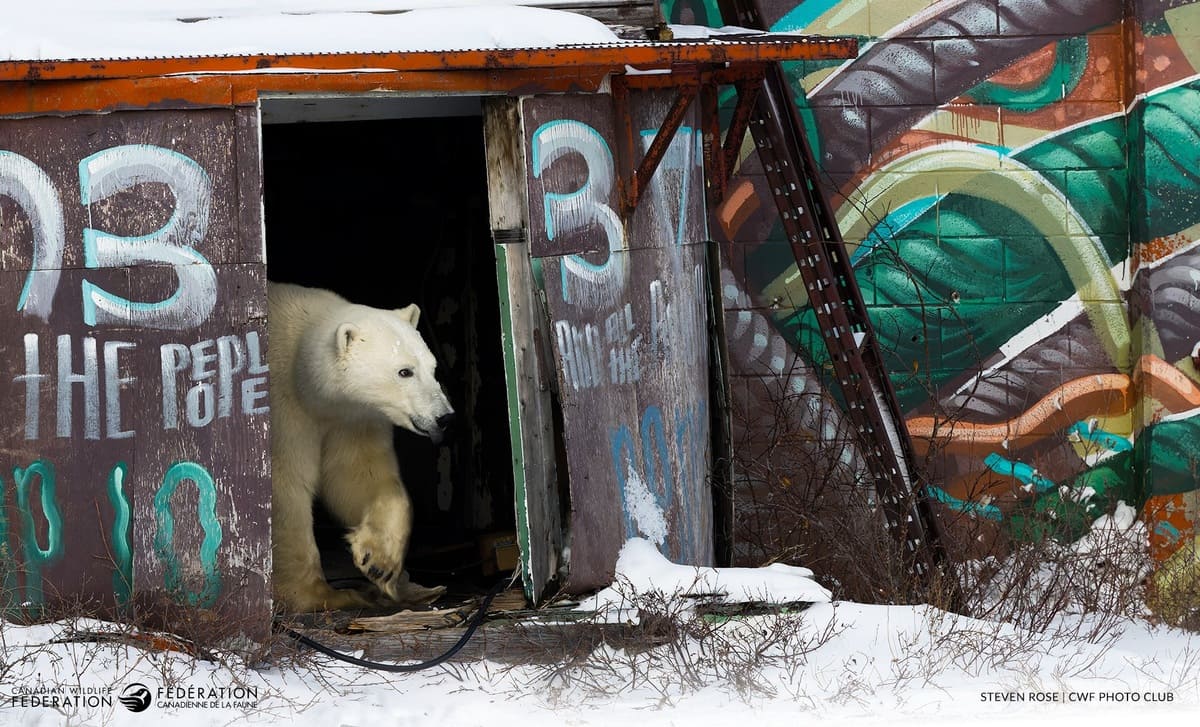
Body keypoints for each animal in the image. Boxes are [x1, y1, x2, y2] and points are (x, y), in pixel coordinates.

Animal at [268, 281, 453, 611]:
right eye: (404, 371)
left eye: (432, 369)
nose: (444, 416)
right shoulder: (284, 410)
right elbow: (286, 488)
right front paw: (325, 595)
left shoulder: (353, 418)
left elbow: (357, 476)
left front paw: (379, 563)